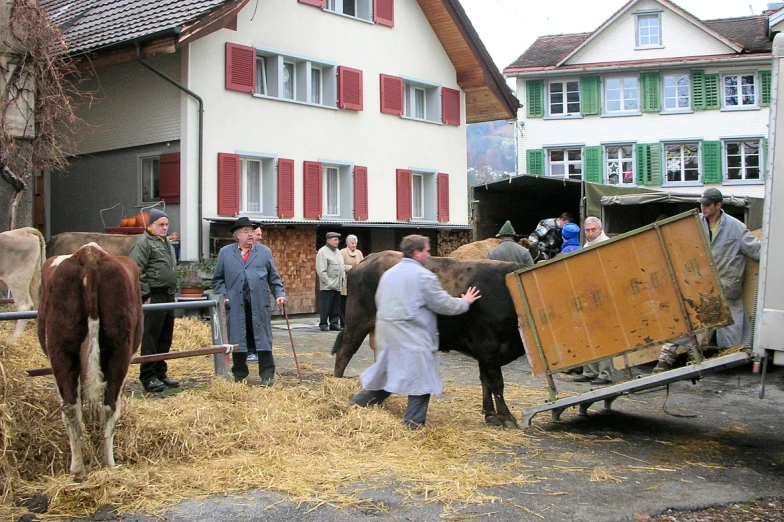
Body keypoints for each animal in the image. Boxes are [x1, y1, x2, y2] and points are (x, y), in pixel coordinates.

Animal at [38, 244, 143, 476]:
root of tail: (89, 254)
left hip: (65, 351)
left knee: (78, 407)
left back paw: (84, 467)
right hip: (118, 351)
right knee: (102, 406)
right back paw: (99, 465)